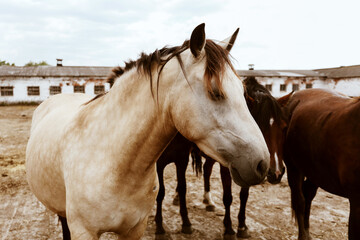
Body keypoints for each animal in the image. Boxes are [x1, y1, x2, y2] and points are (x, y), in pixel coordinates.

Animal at [25, 23, 270, 240]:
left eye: (242, 92)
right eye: (215, 92)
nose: (262, 164)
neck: (114, 164)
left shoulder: (134, 229)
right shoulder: (84, 231)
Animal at [154, 76, 290, 238]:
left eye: (284, 127)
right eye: (260, 125)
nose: (276, 172)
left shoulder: (250, 168)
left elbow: (244, 196)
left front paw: (242, 226)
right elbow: (227, 197)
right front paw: (229, 228)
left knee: (206, 170)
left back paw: (208, 201)